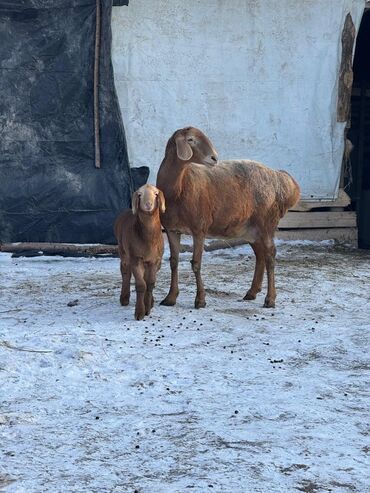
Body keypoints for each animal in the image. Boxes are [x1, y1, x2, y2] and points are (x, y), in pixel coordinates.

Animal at [112, 184, 165, 320]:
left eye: (156, 194)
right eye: (140, 194)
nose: (148, 204)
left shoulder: (154, 260)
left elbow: (150, 283)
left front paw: (148, 307)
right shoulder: (136, 258)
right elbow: (141, 285)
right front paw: (140, 312)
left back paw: (151, 301)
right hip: (123, 251)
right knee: (125, 272)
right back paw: (124, 298)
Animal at [156, 127, 300, 312]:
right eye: (190, 140)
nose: (214, 158)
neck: (179, 188)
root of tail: (279, 178)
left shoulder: (199, 228)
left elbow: (196, 263)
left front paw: (200, 300)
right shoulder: (172, 229)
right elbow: (173, 262)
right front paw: (170, 297)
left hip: (266, 223)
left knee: (270, 255)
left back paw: (270, 299)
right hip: (251, 229)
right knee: (260, 255)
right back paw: (252, 292)